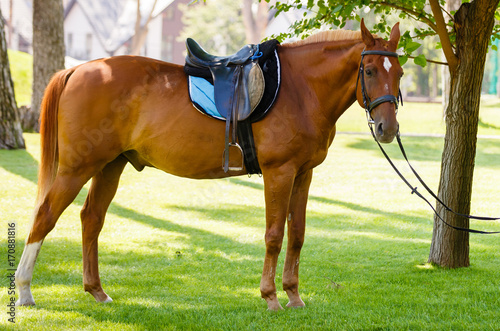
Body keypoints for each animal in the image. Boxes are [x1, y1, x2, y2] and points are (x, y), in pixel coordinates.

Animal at [15, 20, 402, 312]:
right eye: (369, 70)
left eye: (398, 72)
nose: (388, 128)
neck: (299, 88)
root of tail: (78, 68)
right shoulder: (279, 172)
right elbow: (274, 235)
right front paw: (271, 297)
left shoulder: (303, 174)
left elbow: (297, 234)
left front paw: (293, 295)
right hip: (77, 168)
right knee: (45, 217)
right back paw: (24, 290)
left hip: (110, 165)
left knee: (91, 218)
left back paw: (96, 291)